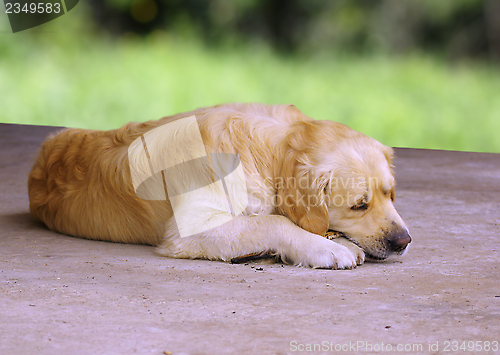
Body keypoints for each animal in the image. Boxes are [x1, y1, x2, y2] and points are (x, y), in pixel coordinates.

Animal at [27, 103, 410, 270]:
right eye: (359, 205)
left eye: (389, 194)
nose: (403, 241)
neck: (267, 150)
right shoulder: (188, 230)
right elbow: (273, 221)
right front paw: (326, 248)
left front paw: (336, 239)